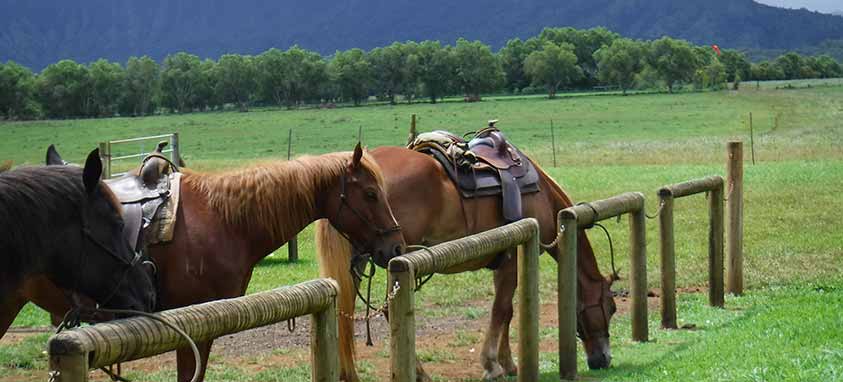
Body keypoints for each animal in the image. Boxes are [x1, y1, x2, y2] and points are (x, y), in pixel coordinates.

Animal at [316, 145, 620, 380]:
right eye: (612, 307)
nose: (603, 360)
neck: (541, 194)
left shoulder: (505, 261)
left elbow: (508, 312)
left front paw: (508, 363)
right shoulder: (512, 260)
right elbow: (501, 310)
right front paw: (492, 365)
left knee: (345, 312)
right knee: (391, 311)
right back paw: (420, 373)